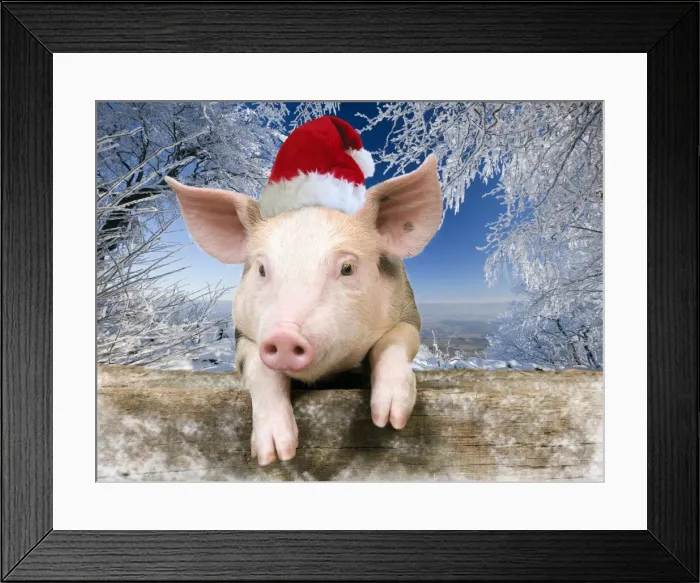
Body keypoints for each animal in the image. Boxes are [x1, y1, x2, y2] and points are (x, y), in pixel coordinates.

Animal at [165, 154, 442, 466]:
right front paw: (275, 455)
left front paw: (390, 420)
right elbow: (259, 368)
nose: (285, 335)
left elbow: (395, 338)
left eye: (348, 268)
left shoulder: (409, 312)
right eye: (261, 269)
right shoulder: (242, 334)